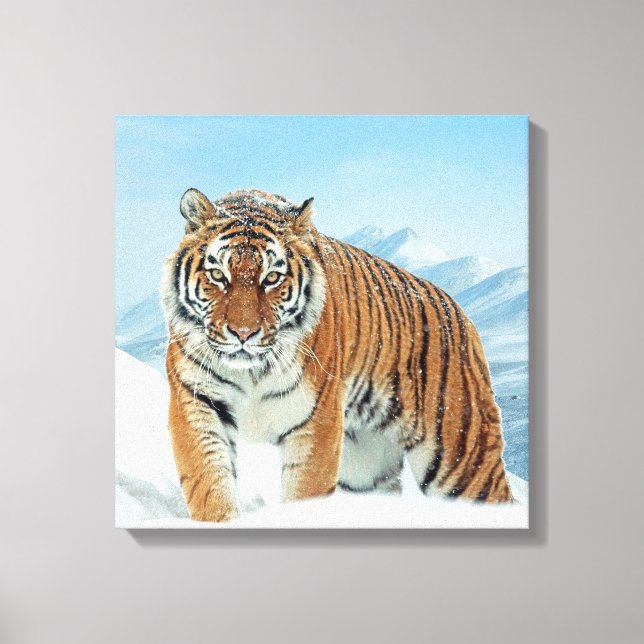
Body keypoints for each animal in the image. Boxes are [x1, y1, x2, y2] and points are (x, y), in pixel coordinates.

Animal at [161, 187, 513, 522]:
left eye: (271, 278)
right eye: (218, 276)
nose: (243, 333)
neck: (252, 371)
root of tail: (462, 314)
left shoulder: (316, 421)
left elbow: (305, 493)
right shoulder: (197, 402)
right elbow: (210, 485)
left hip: (462, 460)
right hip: (366, 469)